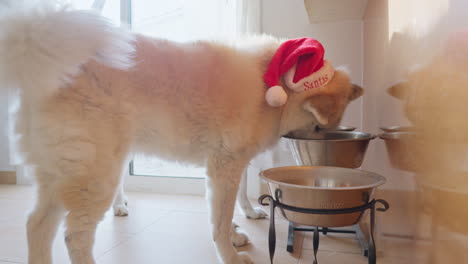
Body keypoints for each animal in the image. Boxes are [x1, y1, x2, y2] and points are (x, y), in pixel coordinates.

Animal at [0, 2, 364, 264]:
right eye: (318, 126)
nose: (311, 141)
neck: (270, 86)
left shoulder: (227, 166)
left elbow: (229, 208)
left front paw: (238, 230)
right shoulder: (225, 166)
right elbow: (219, 221)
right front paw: (230, 255)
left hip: (63, 173)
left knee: (36, 225)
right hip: (95, 176)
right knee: (75, 236)